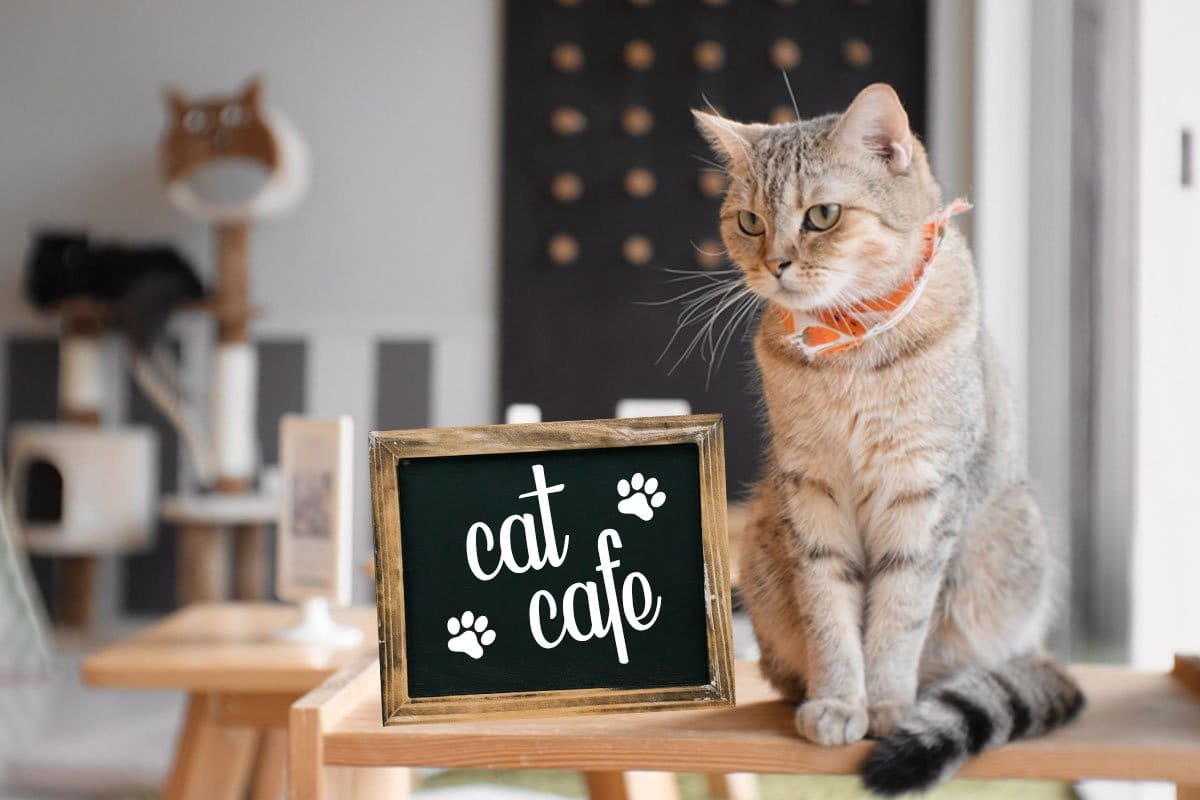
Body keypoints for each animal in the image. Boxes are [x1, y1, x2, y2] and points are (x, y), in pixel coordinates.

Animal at [691, 82, 1084, 796]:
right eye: (750, 222)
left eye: (821, 216)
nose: (775, 263)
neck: (850, 346)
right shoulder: (811, 490)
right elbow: (829, 612)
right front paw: (839, 701)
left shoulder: (922, 492)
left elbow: (900, 616)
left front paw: (887, 705)